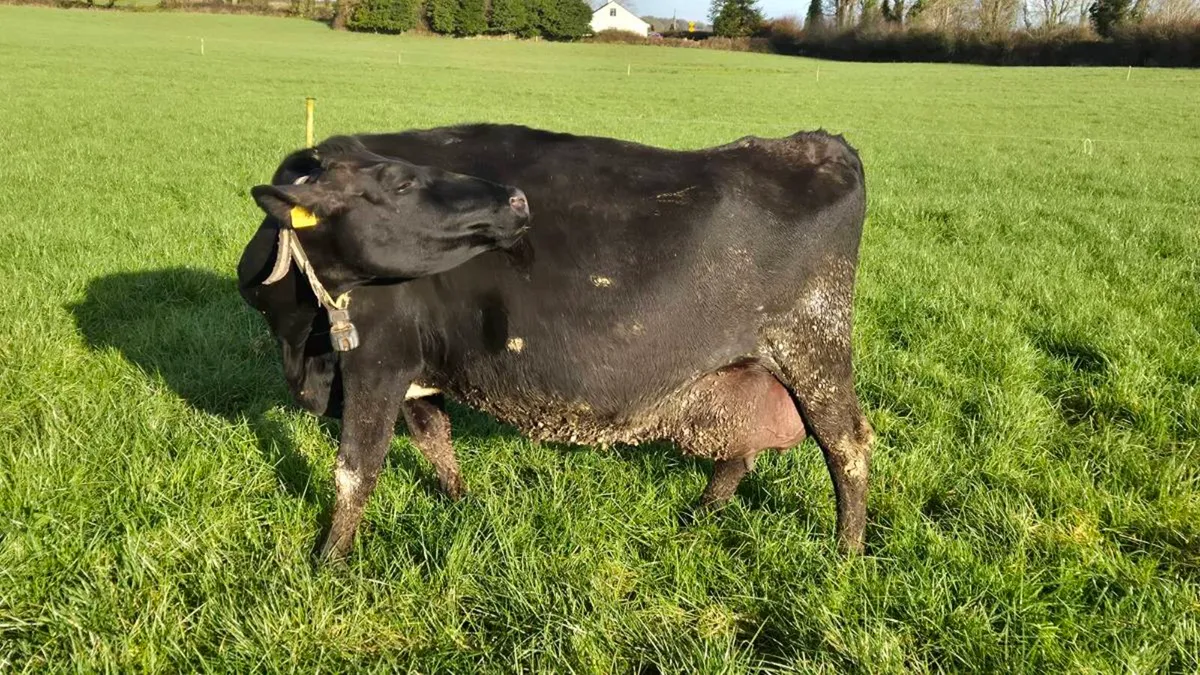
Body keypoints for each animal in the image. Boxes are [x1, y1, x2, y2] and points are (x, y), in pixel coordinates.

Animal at [237, 124, 873, 562]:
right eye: (402, 180)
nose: (516, 200)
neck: (301, 344)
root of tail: (819, 144)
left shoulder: (378, 358)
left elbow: (355, 469)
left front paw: (328, 561)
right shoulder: (417, 366)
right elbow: (435, 439)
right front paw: (460, 502)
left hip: (813, 347)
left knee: (848, 445)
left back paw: (845, 552)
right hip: (745, 365)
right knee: (740, 449)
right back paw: (701, 513)